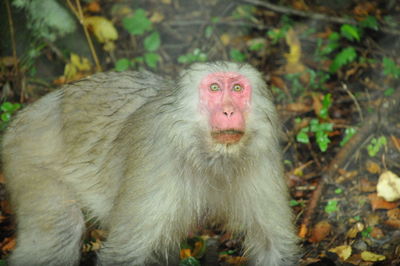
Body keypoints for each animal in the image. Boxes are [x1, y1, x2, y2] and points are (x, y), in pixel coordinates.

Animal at [1, 61, 298, 264]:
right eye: (215, 88)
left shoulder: (262, 155)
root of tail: (27, 112)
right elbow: (124, 252)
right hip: (25, 158)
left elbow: (274, 245)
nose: (229, 110)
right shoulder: (158, 156)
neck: (205, 154)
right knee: (59, 231)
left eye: (237, 89)